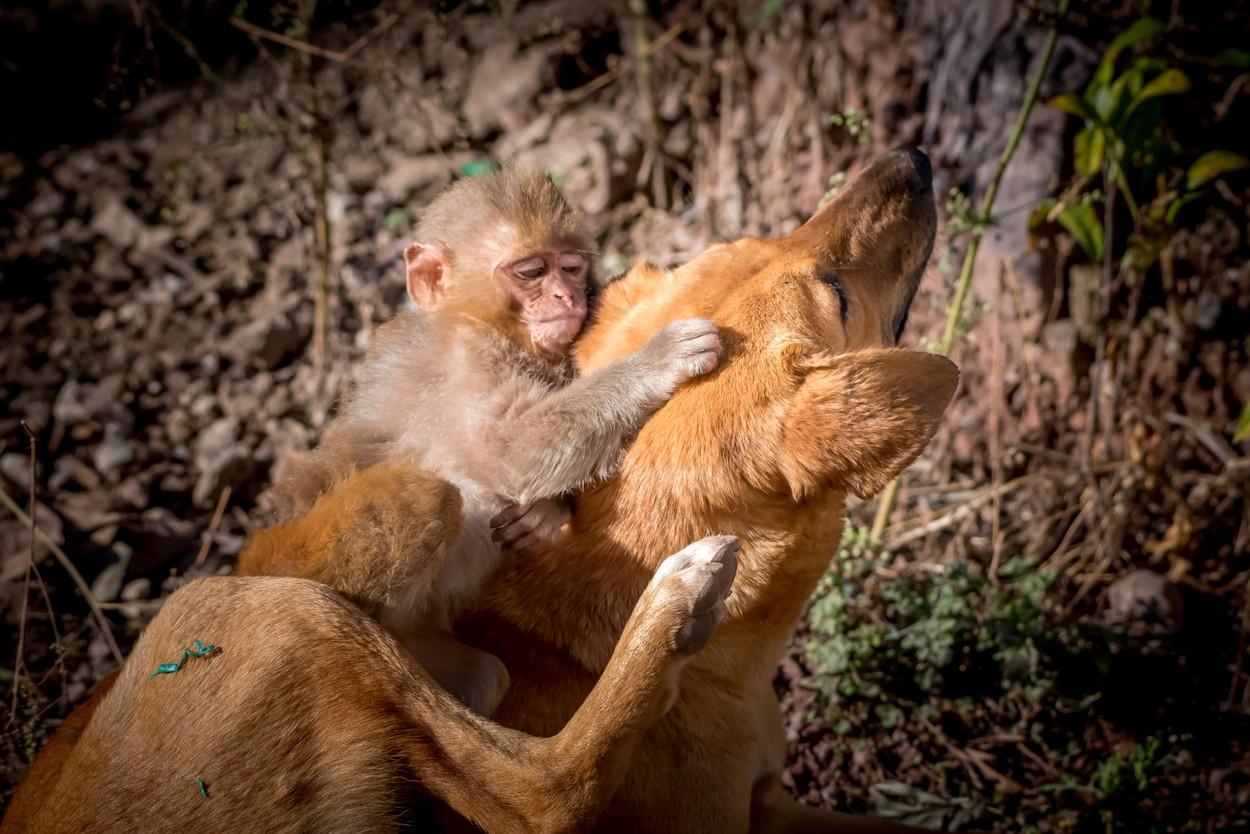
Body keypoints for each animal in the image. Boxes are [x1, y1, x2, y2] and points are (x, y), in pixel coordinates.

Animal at [241, 172, 725, 715]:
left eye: (571, 267)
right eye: (531, 271)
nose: (566, 296)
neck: (477, 321)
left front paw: (544, 517)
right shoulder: (467, 360)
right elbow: (511, 454)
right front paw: (657, 360)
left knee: (486, 675)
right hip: (286, 563)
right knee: (426, 496)